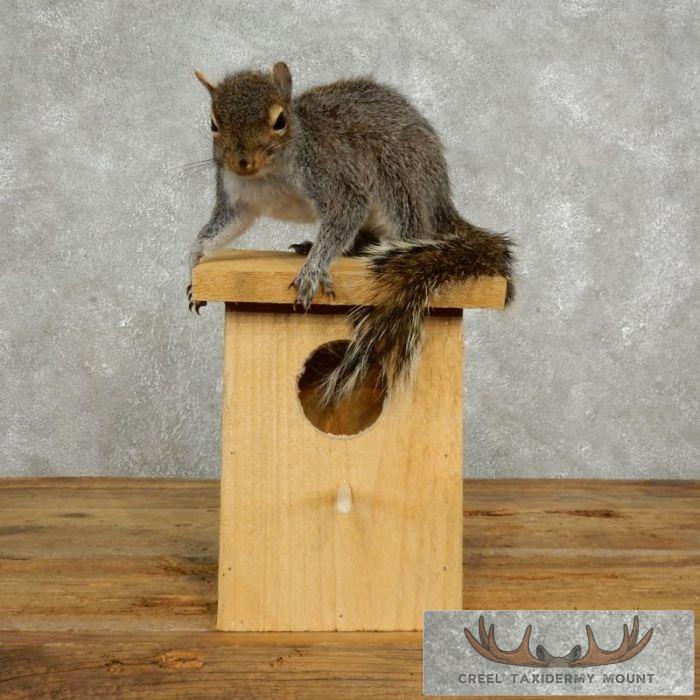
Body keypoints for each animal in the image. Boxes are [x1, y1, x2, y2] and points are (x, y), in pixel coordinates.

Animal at [187, 62, 514, 406]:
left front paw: (314, 270)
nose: (242, 162)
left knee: (407, 228)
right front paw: (195, 260)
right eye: (214, 123)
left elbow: (345, 213)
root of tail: (439, 196)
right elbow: (221, 229)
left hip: (399, 182)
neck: (269, 175)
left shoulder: (333, 178)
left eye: (280, 120)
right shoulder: (236, 198)